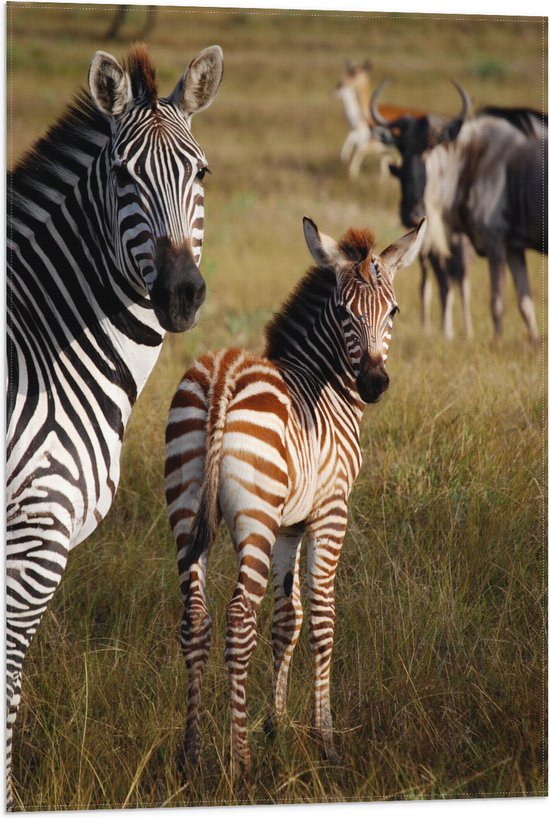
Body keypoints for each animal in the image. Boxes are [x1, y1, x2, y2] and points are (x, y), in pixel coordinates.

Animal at [5, 43, 224, 804]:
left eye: (201, 173)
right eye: (125, 177)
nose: (182, 295)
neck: (43, 346)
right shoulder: (35, 533)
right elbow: (8, 682)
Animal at [164, 214, 426, 776]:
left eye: (393, 310)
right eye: (344, 312)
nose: (374, 383)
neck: (326, 386)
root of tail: (222, 375)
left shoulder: (290, 524)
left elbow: (288, 619)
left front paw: (276, 724)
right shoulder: (329, 511)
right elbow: (321, 618)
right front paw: (323, 737)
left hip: (186, 511)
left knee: (196, 618)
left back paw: (191, 756)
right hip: (255, 521)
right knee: (239, 619)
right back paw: (239, 764)